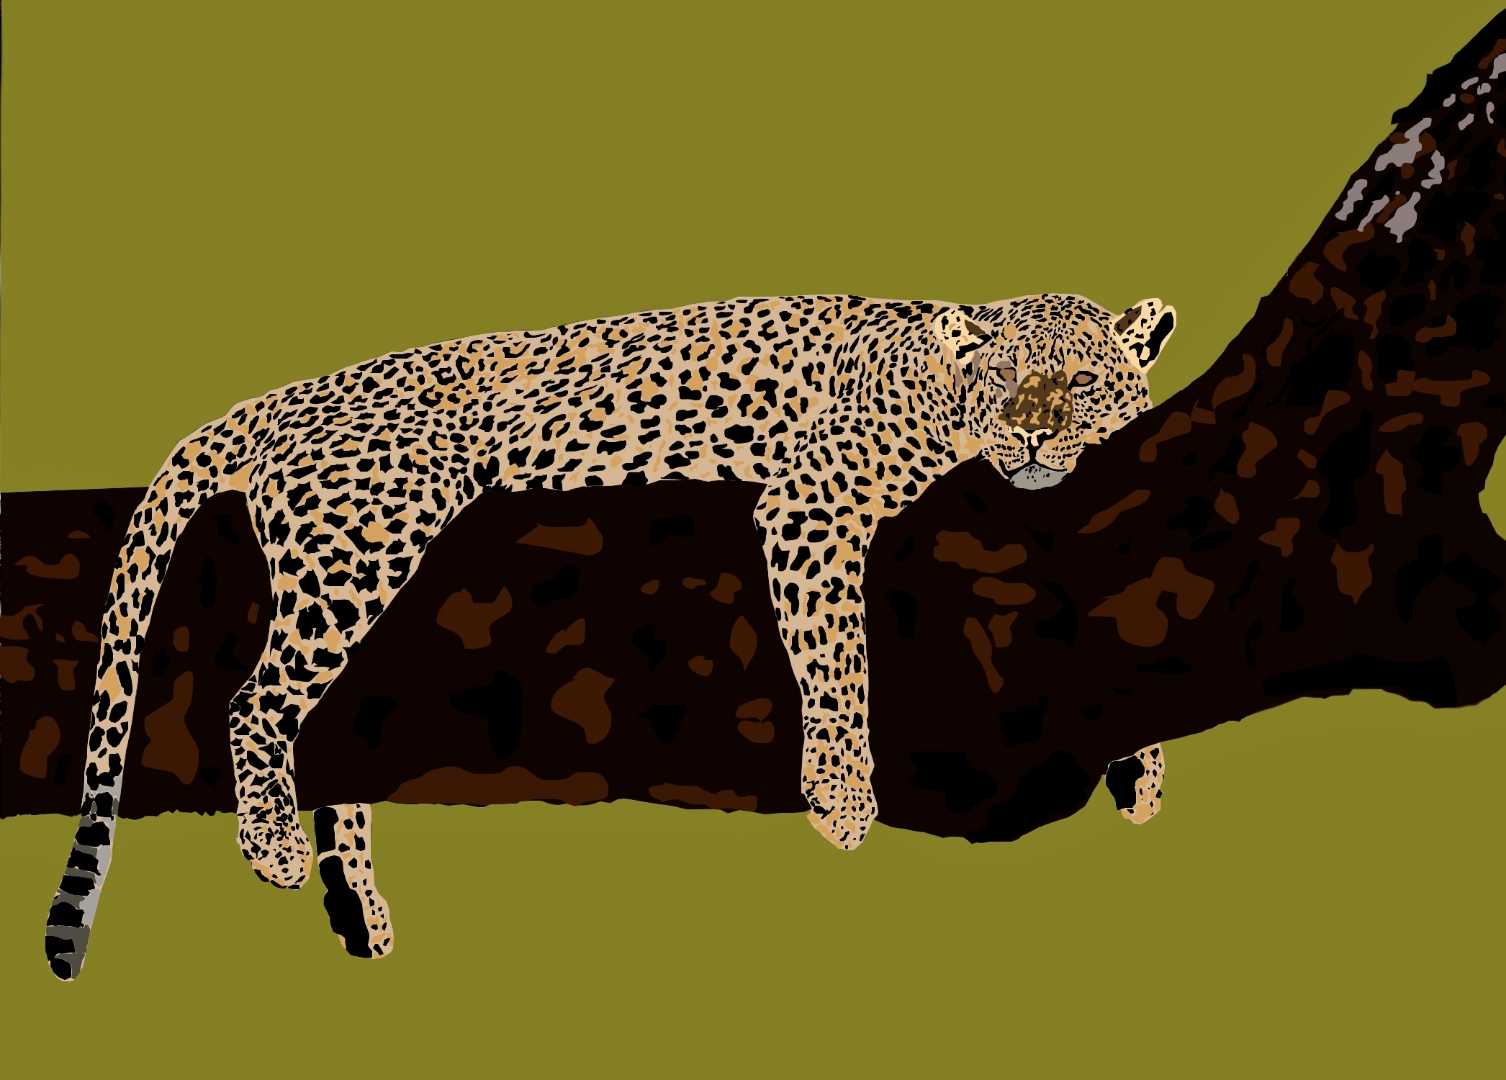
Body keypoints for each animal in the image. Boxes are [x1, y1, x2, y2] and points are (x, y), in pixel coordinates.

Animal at [44, 291, 1175, 977]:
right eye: (1004, 381)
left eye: (1080, 382)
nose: (1029, 434)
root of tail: (287, 396)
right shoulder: (813, 500)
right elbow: (836, 655)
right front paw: (844, 795)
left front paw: (1144, 767)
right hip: (367, 532)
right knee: (252, 699)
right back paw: (275, 849)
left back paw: (354, 904)